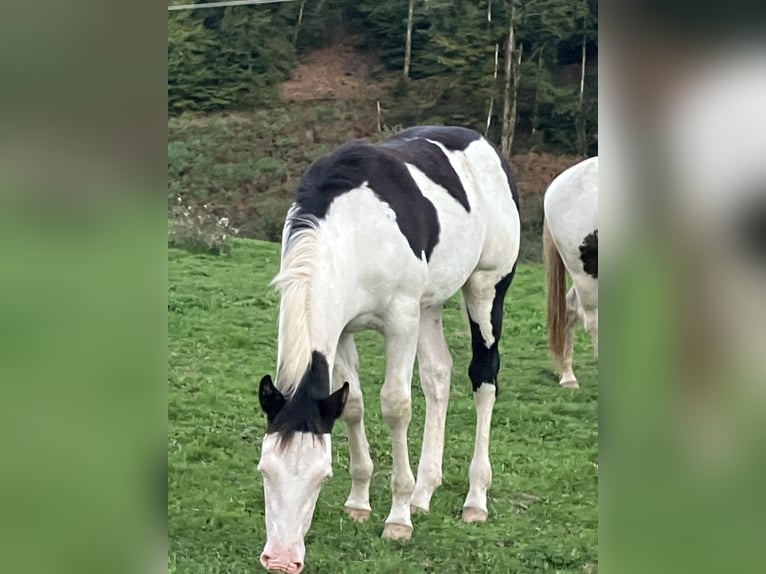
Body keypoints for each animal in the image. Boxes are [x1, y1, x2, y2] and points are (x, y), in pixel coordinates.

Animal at [256, 126, 520, 573]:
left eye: (322, 476)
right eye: (265, 470)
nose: (281, 559)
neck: (355, 228)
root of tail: (487, 146)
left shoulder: (401, 322)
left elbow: (396, 407)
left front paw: (397, 518)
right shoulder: (342, 329)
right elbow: (354, 404)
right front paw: (360, 502)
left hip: (486, 288)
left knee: (484, 377)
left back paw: (474, 499)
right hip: (429, 305)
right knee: (438, 376)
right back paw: (424, 493)